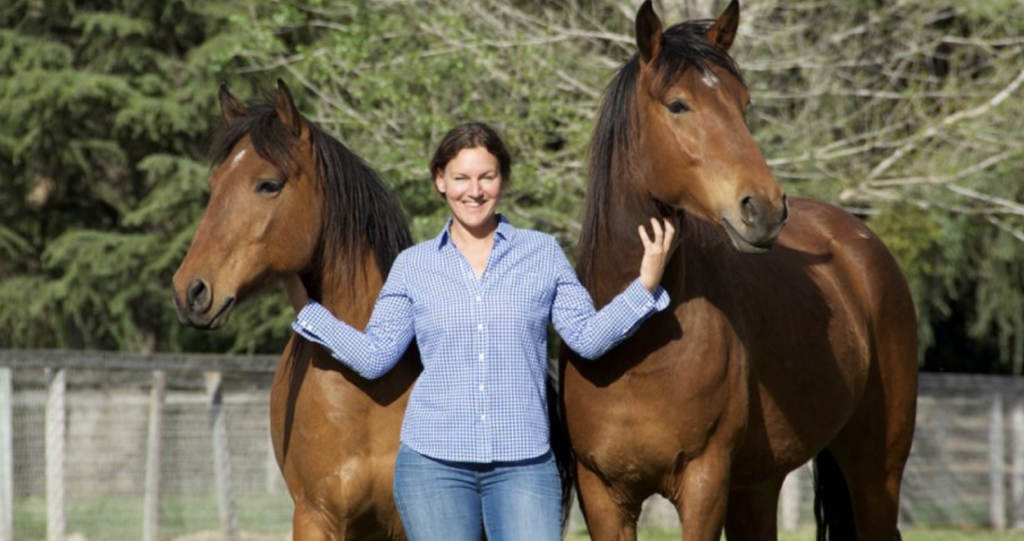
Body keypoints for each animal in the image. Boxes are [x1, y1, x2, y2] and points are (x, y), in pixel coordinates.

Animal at [565, 2, 917, 536]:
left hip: (877, 473)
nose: (765, 208)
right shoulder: (602, 495)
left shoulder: (704, 484)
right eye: (678, 105)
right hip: (758, 487)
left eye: (743, 103)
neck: (634, 345)